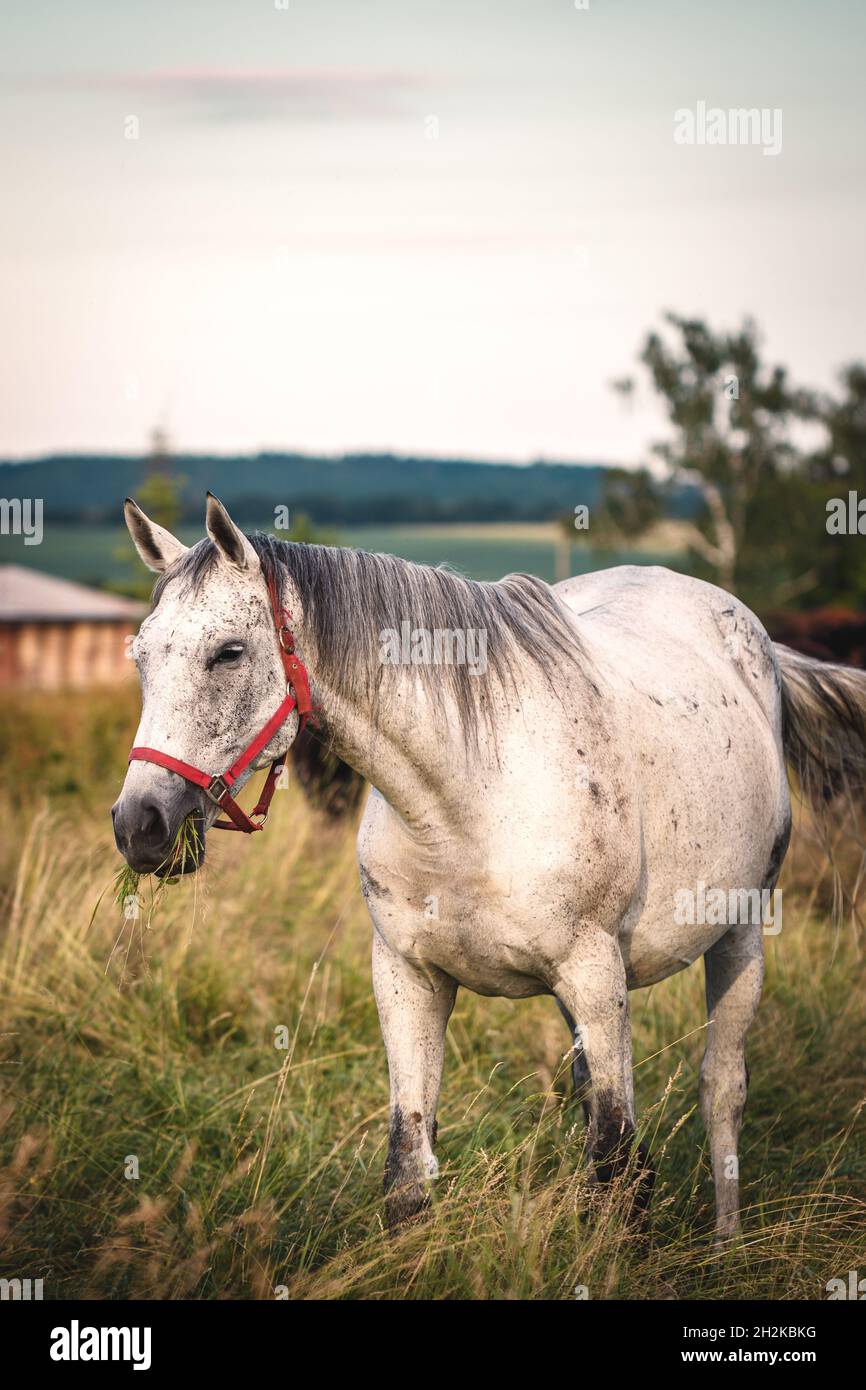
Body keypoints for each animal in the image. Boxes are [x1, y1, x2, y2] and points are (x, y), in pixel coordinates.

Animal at [113, 493, 866, 1238]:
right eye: (140, 657)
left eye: (228, 653)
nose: (139, 826)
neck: (463, 805)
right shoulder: (408, 978)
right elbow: (409, 1170)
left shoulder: (595, 974)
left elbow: (615, 1165)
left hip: (739, 935)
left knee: (721, 1088)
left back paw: (726, 1242)